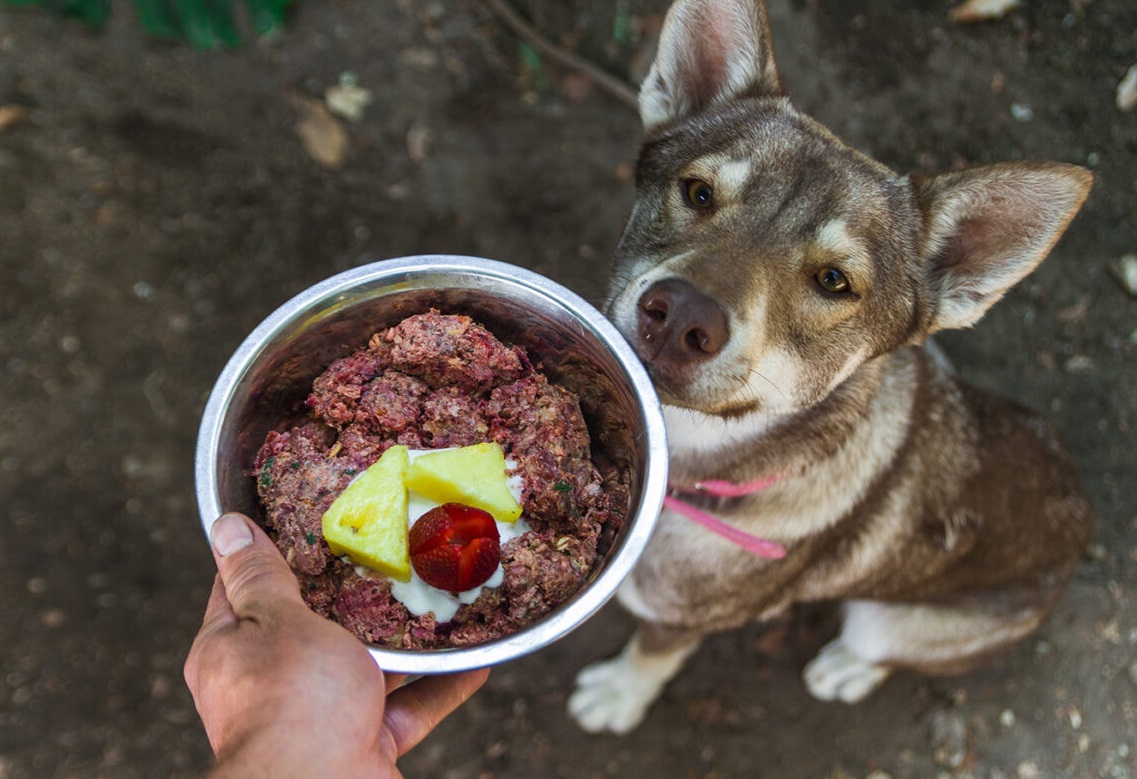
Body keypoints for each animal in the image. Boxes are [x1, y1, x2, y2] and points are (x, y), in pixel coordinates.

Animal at [573, 0, 1096, 732]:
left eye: (832, 281)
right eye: (698, 193)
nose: (678, 317)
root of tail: (1083, 518)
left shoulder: (679, 618)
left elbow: (653, 656)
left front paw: (621, 695)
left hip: (901, 622)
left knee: (884, 648)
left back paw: (846, 668)